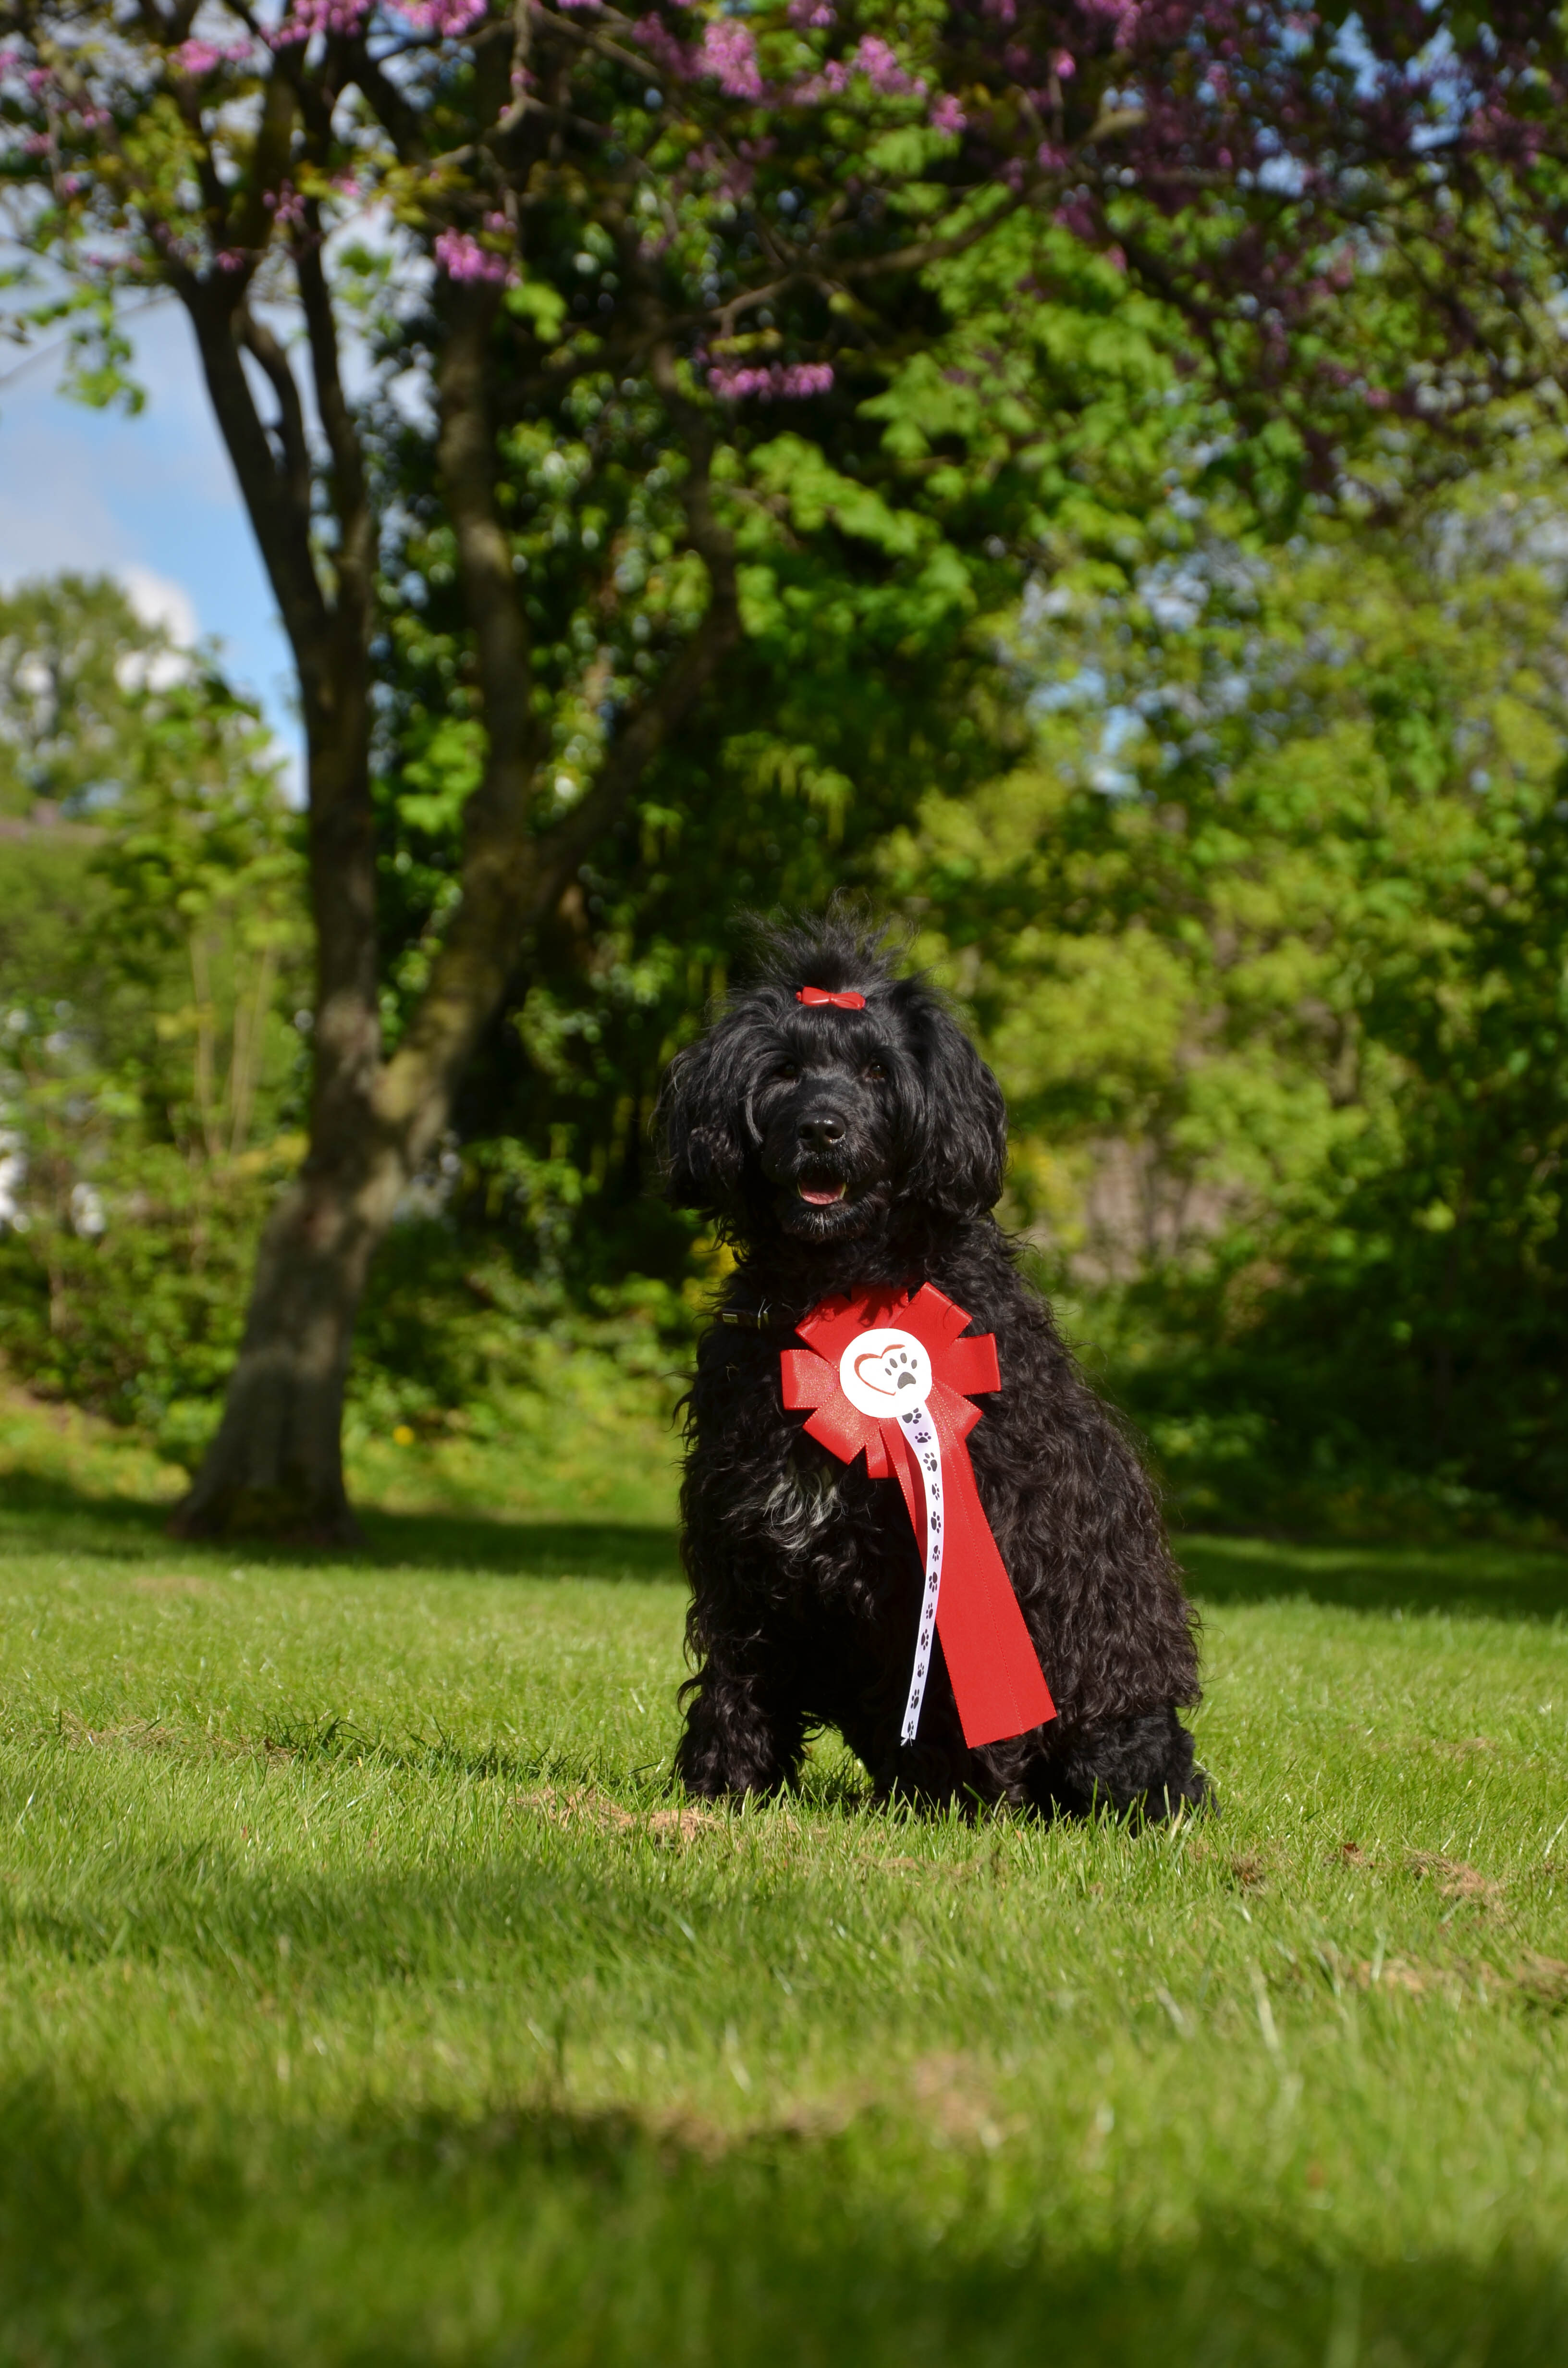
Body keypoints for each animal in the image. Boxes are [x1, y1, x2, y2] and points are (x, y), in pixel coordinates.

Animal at [658, 919, 1208, 1809]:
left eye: (877, 1071)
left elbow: (961, 1693)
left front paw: (961, 1803)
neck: (841, 1286)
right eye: (783, 1071)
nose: (821, 1129)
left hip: (1116, 1710)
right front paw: (724, 1782)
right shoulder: (743, 1532)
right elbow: (740, 1676)